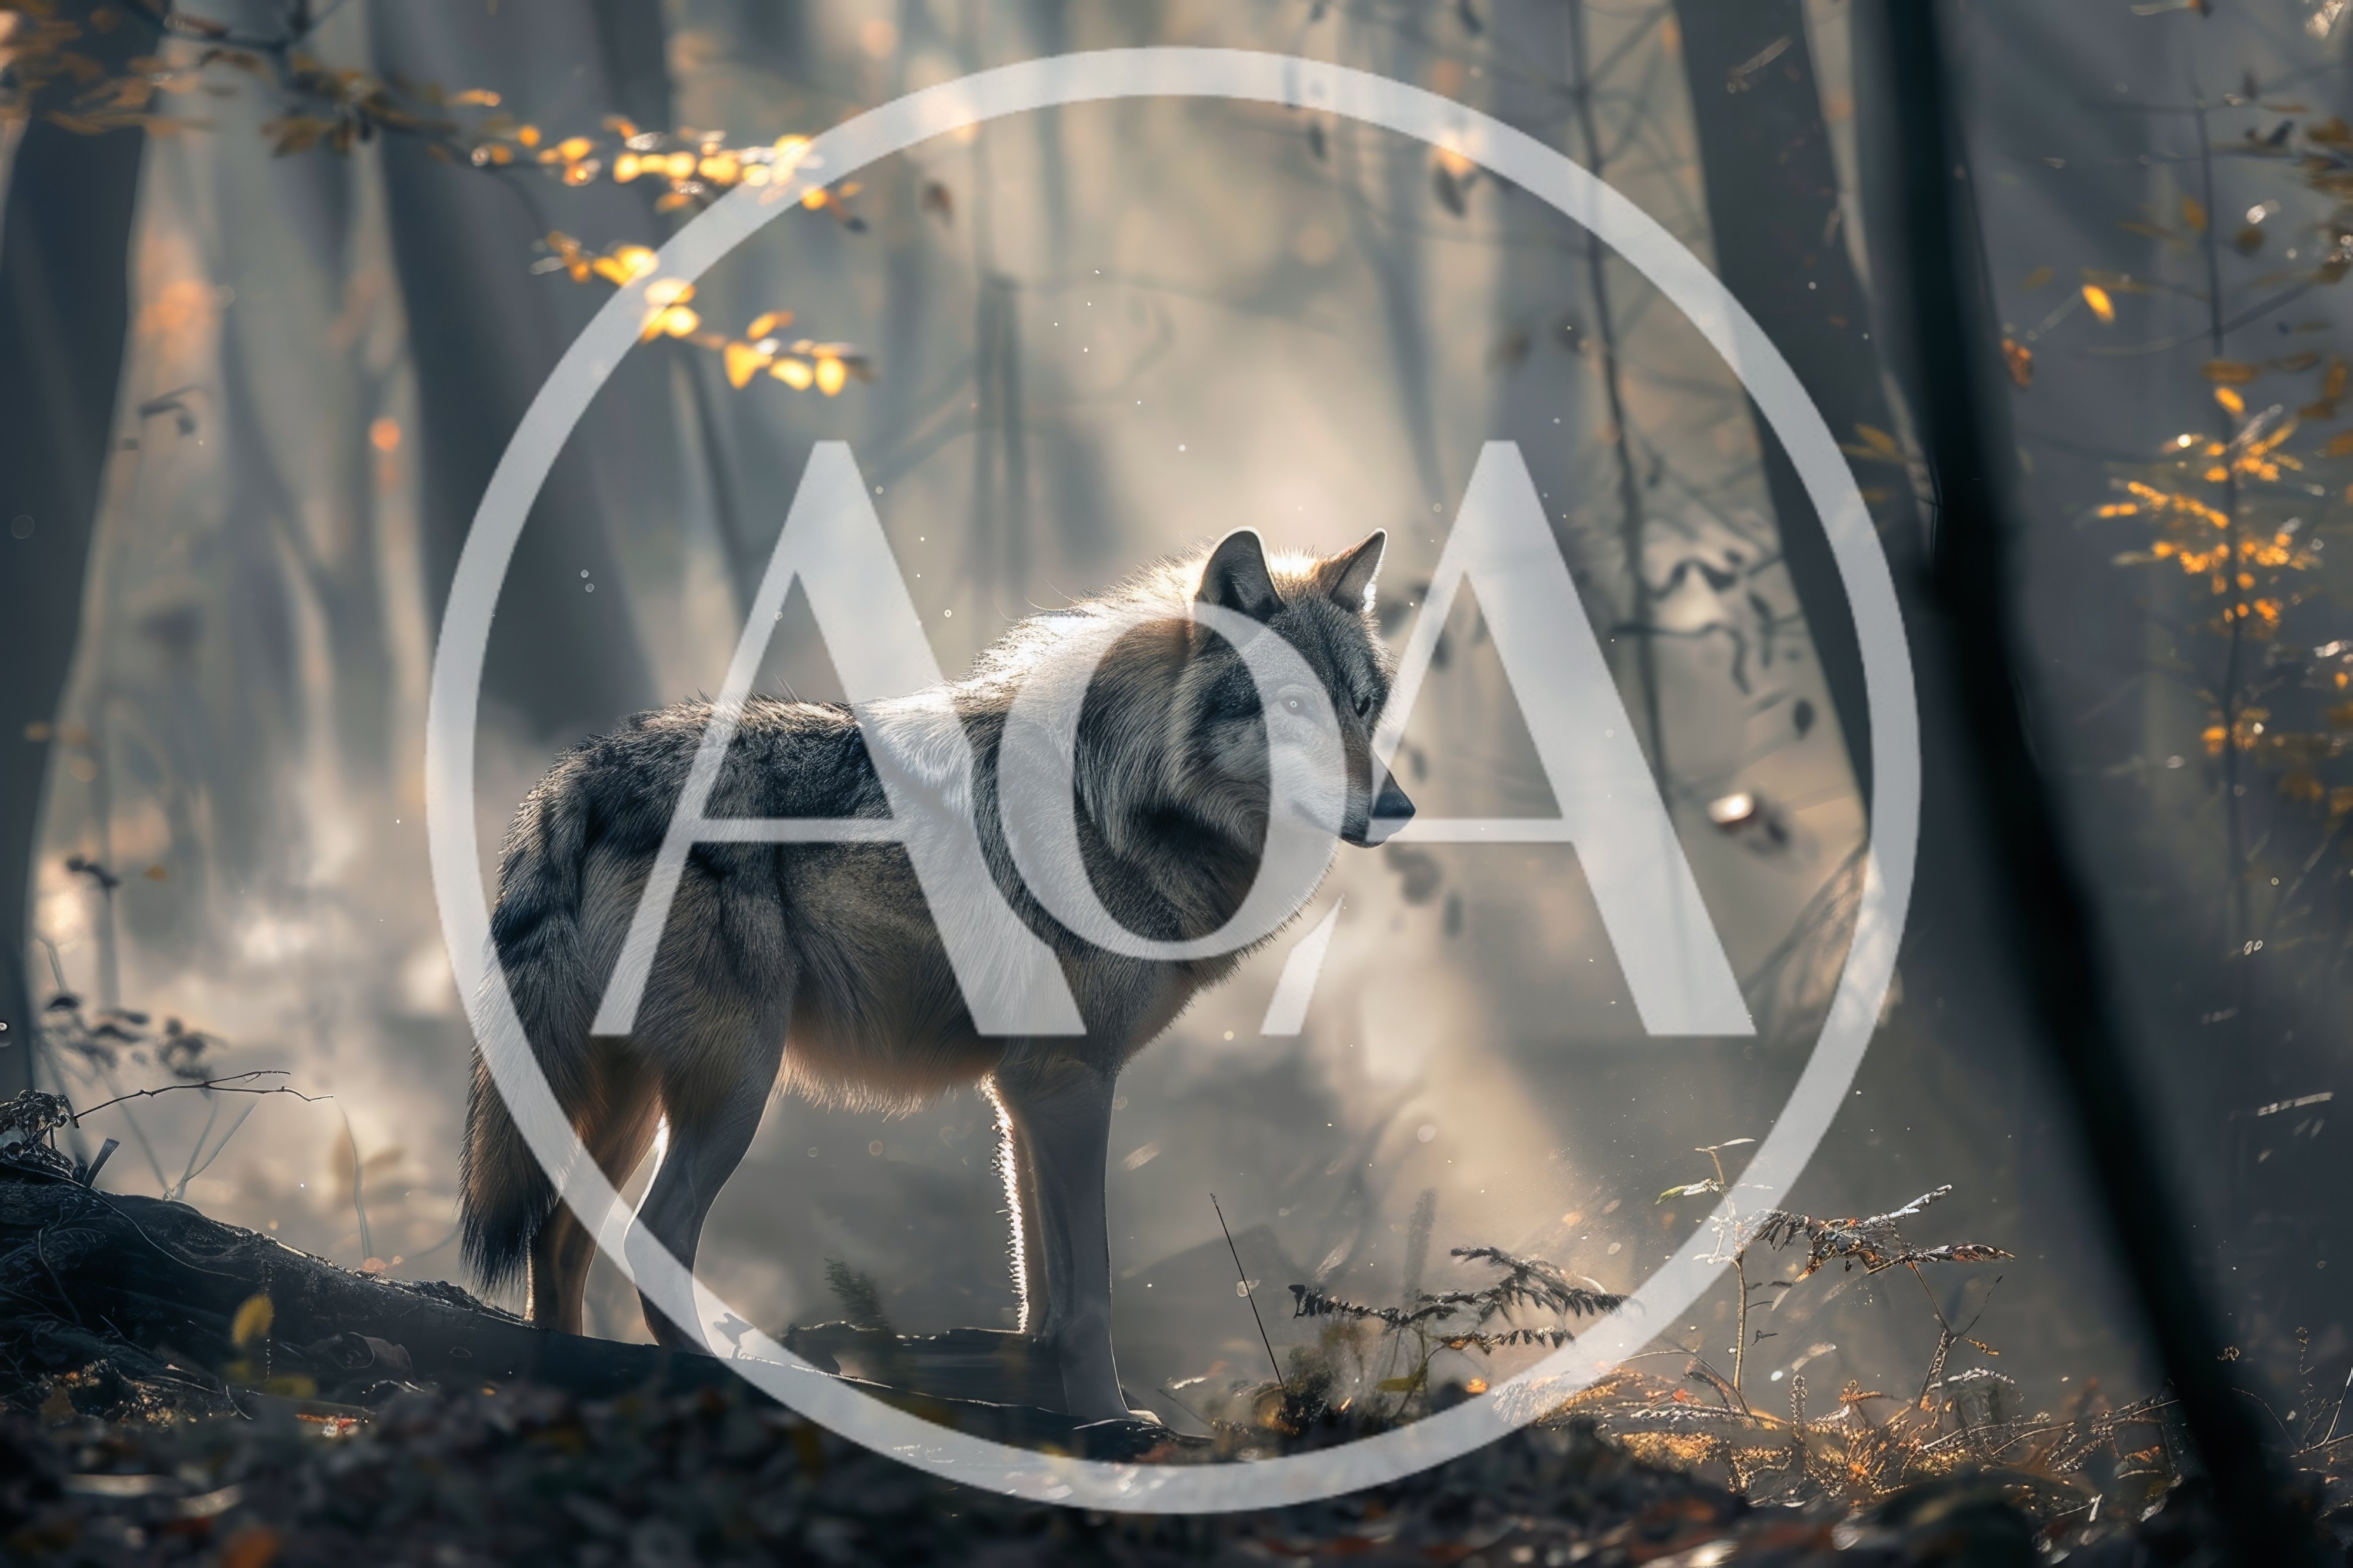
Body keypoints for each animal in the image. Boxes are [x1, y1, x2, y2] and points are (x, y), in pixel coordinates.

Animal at [461, 526, 1413, 1423]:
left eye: (1363, 706)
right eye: (1294, 704)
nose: (1398, 808)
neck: (1123, 796)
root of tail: (583, 773)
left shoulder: (1027, 1090)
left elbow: (1046, 1295)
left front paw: (1048, 1399)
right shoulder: (1068, 1081)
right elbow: (1092, 1292)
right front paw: (1109, 1420)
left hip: (627, 1105)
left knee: (559, 1245)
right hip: (733, 1090)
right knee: (647, 1241)